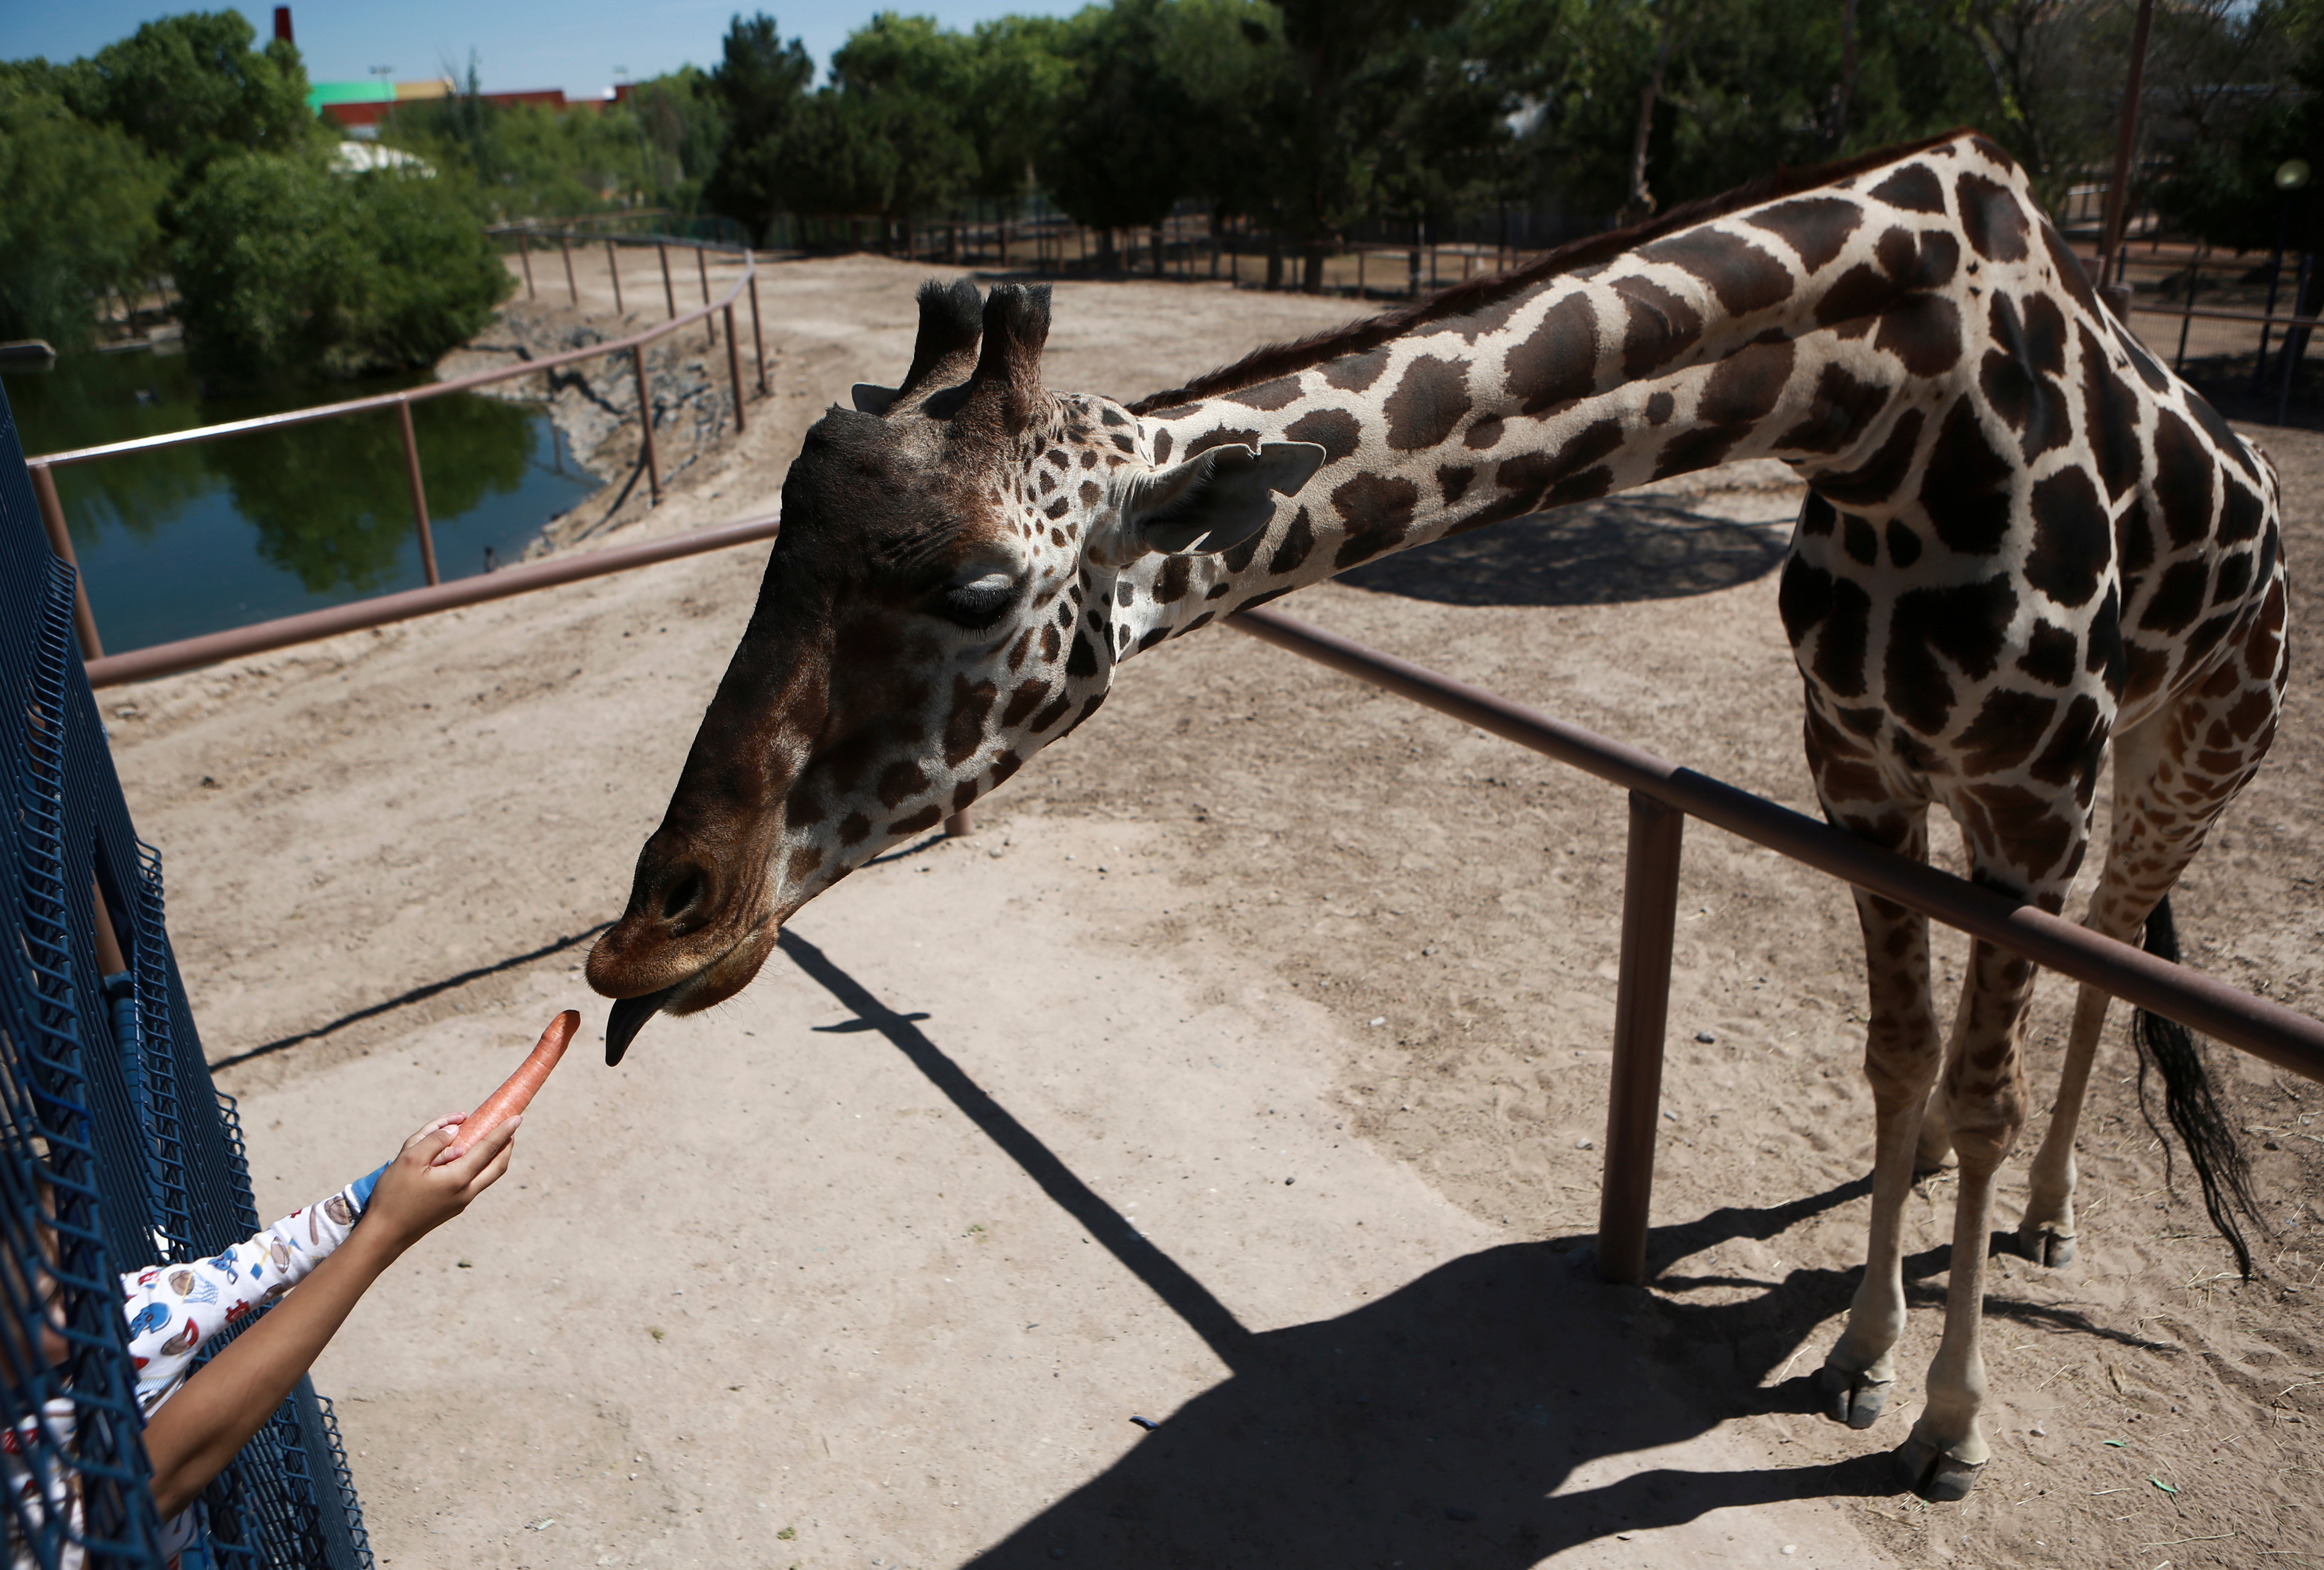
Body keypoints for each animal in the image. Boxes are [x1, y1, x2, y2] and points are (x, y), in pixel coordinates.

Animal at [586, 129, 2287, 1502]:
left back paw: (2049, 1219)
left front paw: (1944, 1426)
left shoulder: (2029, 797)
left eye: (979, 589)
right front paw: (1865, 1352)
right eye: (779, 537)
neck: (1890, 415)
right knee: (1976, 1039)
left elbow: (1995, 1075)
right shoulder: (1856, 774)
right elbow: (1888, 1058)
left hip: (2182, 750)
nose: (649, 936)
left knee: (2115, 955)